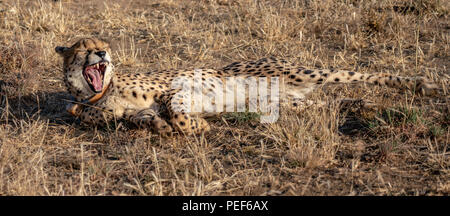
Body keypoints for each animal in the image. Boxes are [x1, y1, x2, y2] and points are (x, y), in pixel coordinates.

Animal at [53, 37, 440, 135]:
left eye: (101, 43)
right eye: (83, 47)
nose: (102, 52)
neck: (100, 93)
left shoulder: (174, 89)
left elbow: (176, 112)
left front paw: (198, 125)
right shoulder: (129, 113)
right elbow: (145, 120)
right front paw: (160, 125)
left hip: (301, 73)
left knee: (358, 75)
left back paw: (425, 86)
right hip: (287, 104)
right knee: (331, 104)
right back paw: (366, 107)